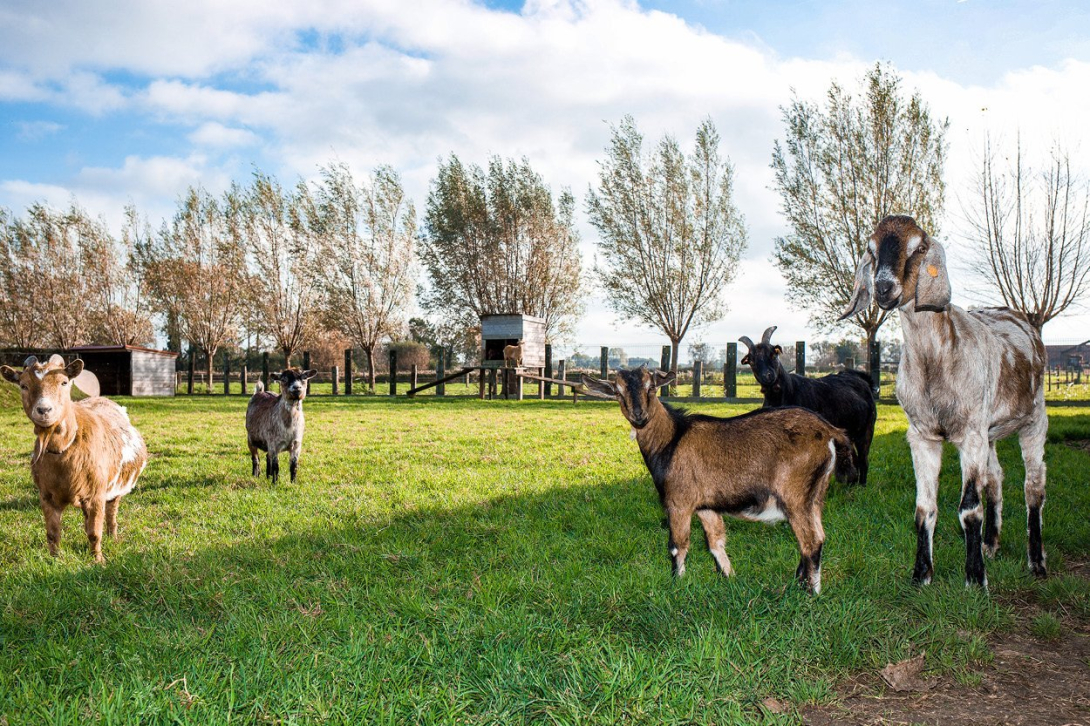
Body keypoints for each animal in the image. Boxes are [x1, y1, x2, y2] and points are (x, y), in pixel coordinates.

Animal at [1, 353, 148, 562]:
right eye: (23, 385)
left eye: (64, 382)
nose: (44, 410)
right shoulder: (46, 495)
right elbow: (53, 534)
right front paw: (54, 559)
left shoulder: (96, 494)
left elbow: (94, 533)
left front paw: (98, 560)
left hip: (116, 486)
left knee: (111, 512)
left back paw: (113, 536)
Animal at [584, 364, 854, 593]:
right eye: (618, 392)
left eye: (651, 387)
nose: (639, 416)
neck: (672, 438)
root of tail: (830, 431)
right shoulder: (706, 506)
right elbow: (715, 542)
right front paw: (729, 577)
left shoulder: (679, 501)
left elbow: (677, 546)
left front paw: (677, 585)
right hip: (815, 493)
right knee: (817, 536)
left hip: (795, 494)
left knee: (811, 540)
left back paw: (809, 593)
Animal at [741, 324, 876, 483]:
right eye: (751, 360)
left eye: (773, 354)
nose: (767, 376)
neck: (788, 390)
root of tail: (863, 379)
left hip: (867, 428)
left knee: (863, 459)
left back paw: (862, 485)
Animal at [841, 212, 1046, 584]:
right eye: (872, 250)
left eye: (920, 248)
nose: (883, 287)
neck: (934, 363)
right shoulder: (923, 435)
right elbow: (924, 508)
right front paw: (921, 574)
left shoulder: (970, 435)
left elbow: (969, 509)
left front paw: (975, 578)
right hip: (989, 432)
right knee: (995, 478)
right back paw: (991, 544)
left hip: (1034, 419)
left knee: (1033, 488)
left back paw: (1036, 562)